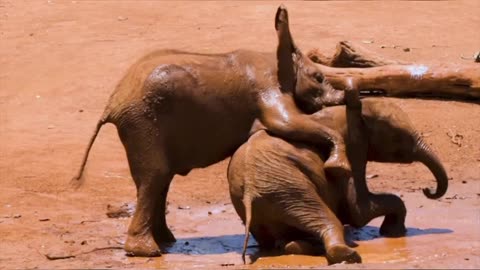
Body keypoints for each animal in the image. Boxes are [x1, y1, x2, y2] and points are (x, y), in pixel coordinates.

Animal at [72, 5, 356, 256]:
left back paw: (166, 242)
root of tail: (112, 103)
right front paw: (338, 166)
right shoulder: (266, 87)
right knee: (155, 177)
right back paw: (147, 252)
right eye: (318, 77)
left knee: (160, 180)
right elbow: (286, 123)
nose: (346, 94)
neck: (276, 55)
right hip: (142, 122)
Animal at [227, 92, 448, 264]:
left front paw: (392, 233)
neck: (355, 110)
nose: (427, 190)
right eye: (398, 139)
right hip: (288, 189)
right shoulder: (354, 148)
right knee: (328, 220)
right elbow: (358, 210)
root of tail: (249, 193)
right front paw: (394, 232)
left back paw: (298, 247)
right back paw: (348, 255)